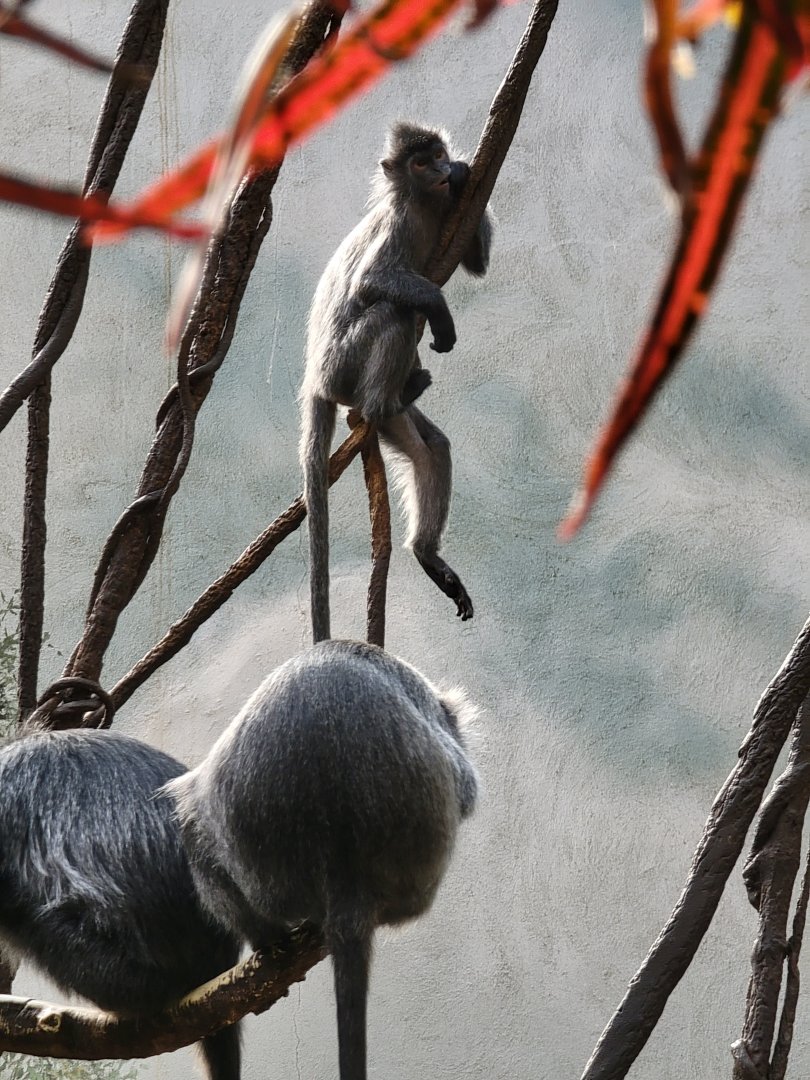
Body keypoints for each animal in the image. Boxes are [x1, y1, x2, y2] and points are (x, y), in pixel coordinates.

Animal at [300, 121, 493, 642]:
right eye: (420, 162)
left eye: (438, 154)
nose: (443, 168)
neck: (424, 203)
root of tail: (316, 380)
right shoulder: (398, 224)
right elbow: (371, 282)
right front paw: (441, 315)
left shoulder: (451, 214)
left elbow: (477, 265)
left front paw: (464, 174)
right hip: (346, 364)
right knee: (396, 311)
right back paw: (388, 398)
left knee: (432, 446)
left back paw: (427, 554)